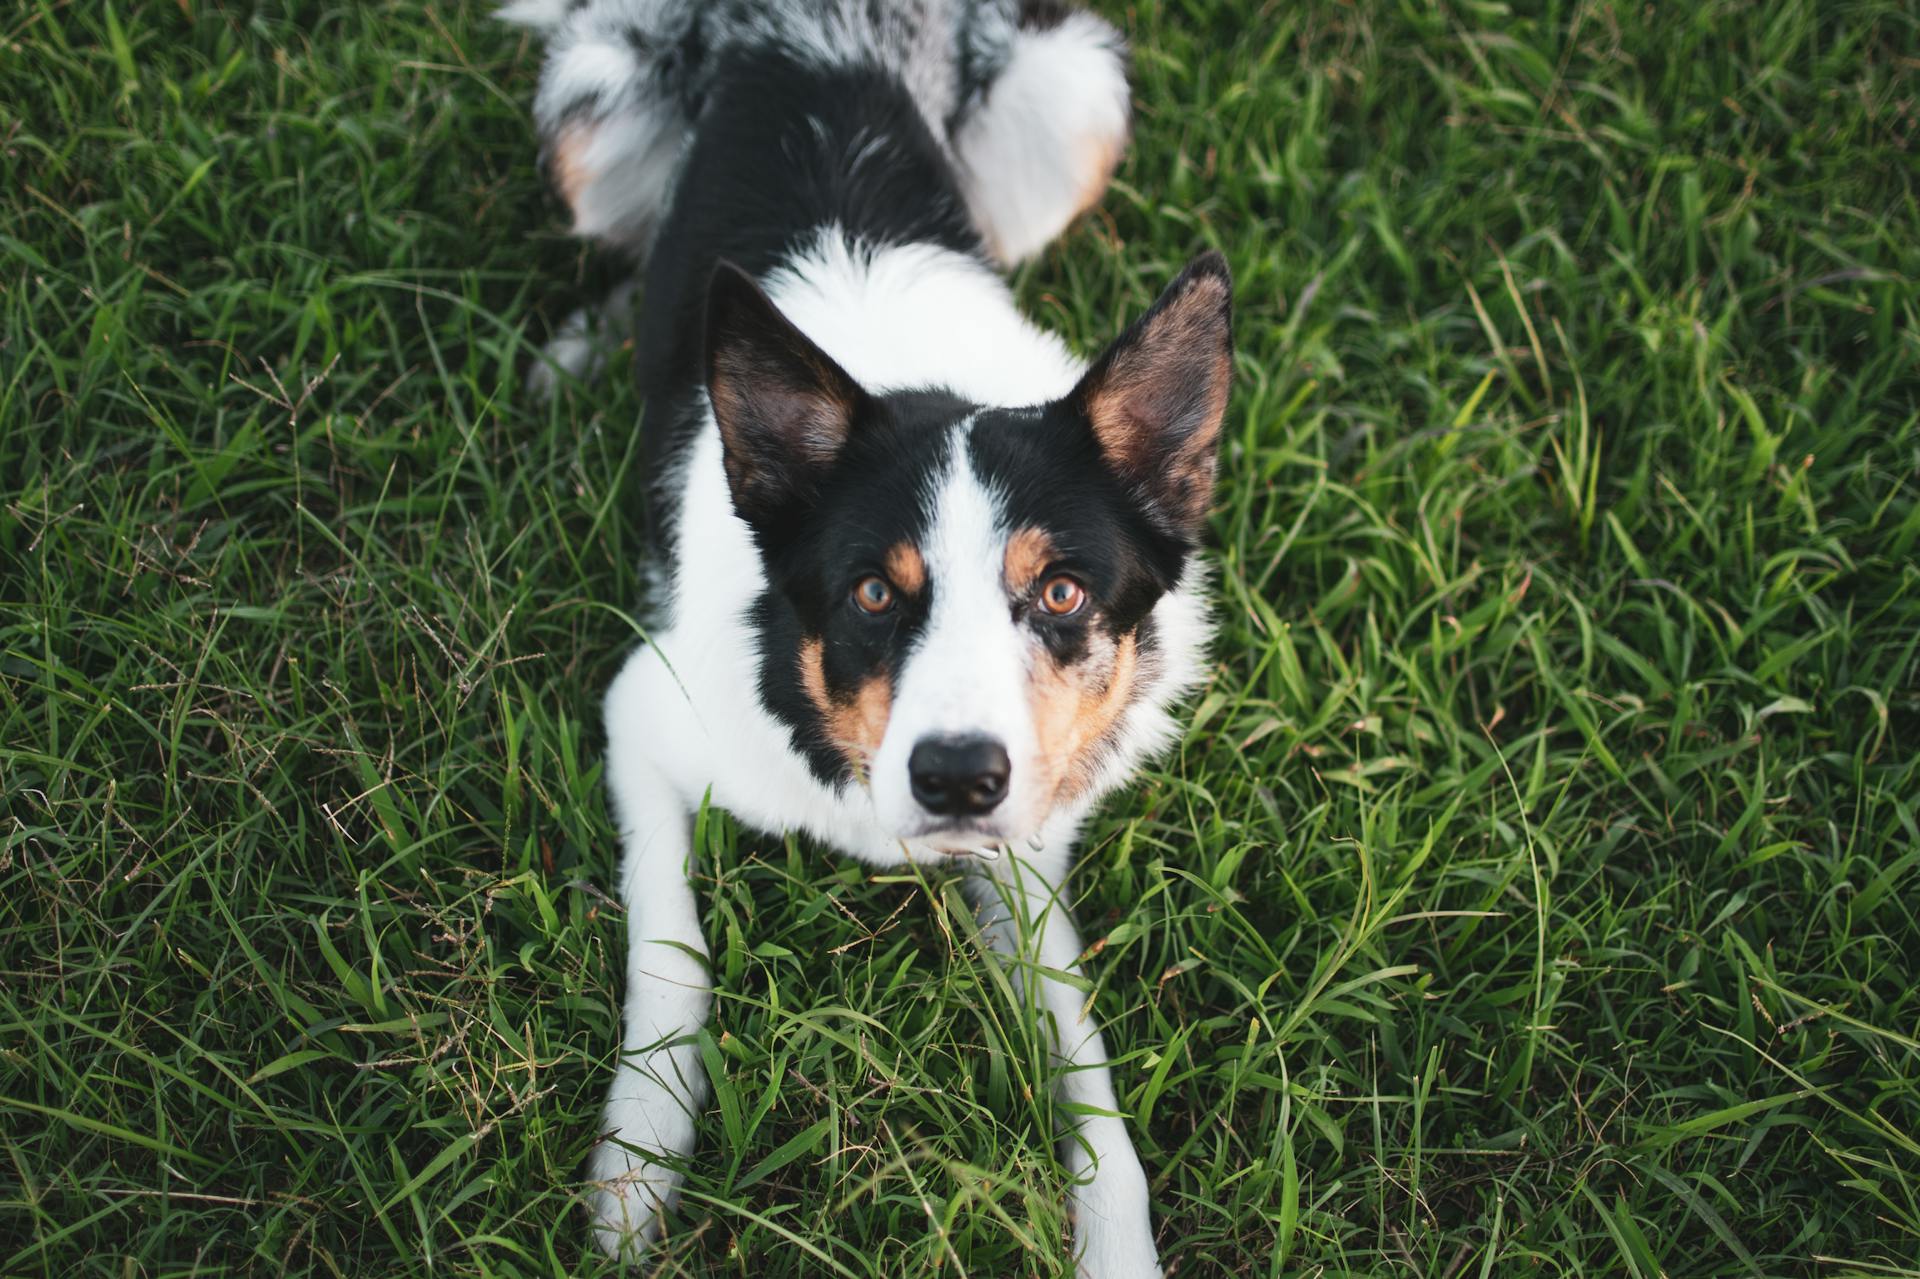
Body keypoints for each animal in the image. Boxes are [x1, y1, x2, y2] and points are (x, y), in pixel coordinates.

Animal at [503, 4, 1236, 1267]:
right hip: (595, 105)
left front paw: (1116, 1243)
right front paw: (639, 1165)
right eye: (873, 597)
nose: (957, 779)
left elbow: (1089, 1077)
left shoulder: (1025, 862)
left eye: (1060, 595)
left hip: (1072, 106)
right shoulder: (643, 711)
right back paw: (585, 348)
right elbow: (670, 947)